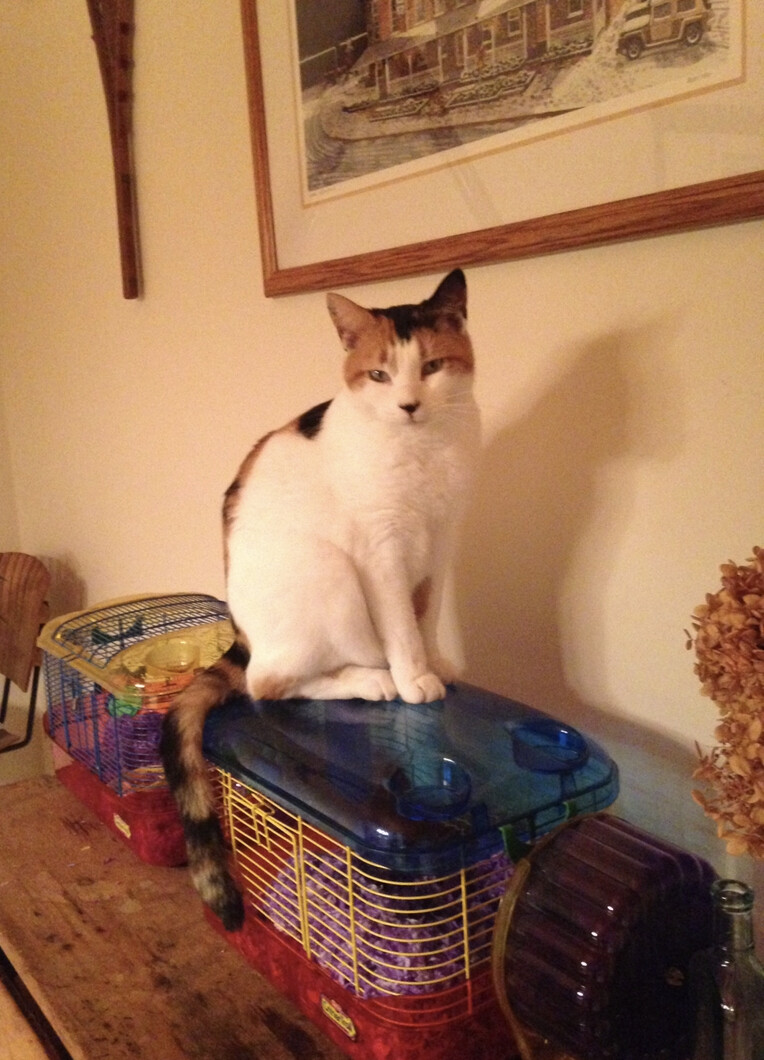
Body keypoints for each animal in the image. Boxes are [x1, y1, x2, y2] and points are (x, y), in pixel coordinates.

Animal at [160, 268, 480, 930]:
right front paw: (414, 679)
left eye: (432, 366)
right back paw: (373, 680)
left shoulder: (440, 545)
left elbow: (428, 616)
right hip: (327, 568)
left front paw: (439, 665)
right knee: (268, 684)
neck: (424, 452)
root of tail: (242, 634)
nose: (409, 405)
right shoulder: (382, 550)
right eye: (379, 375)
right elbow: (402, 627)